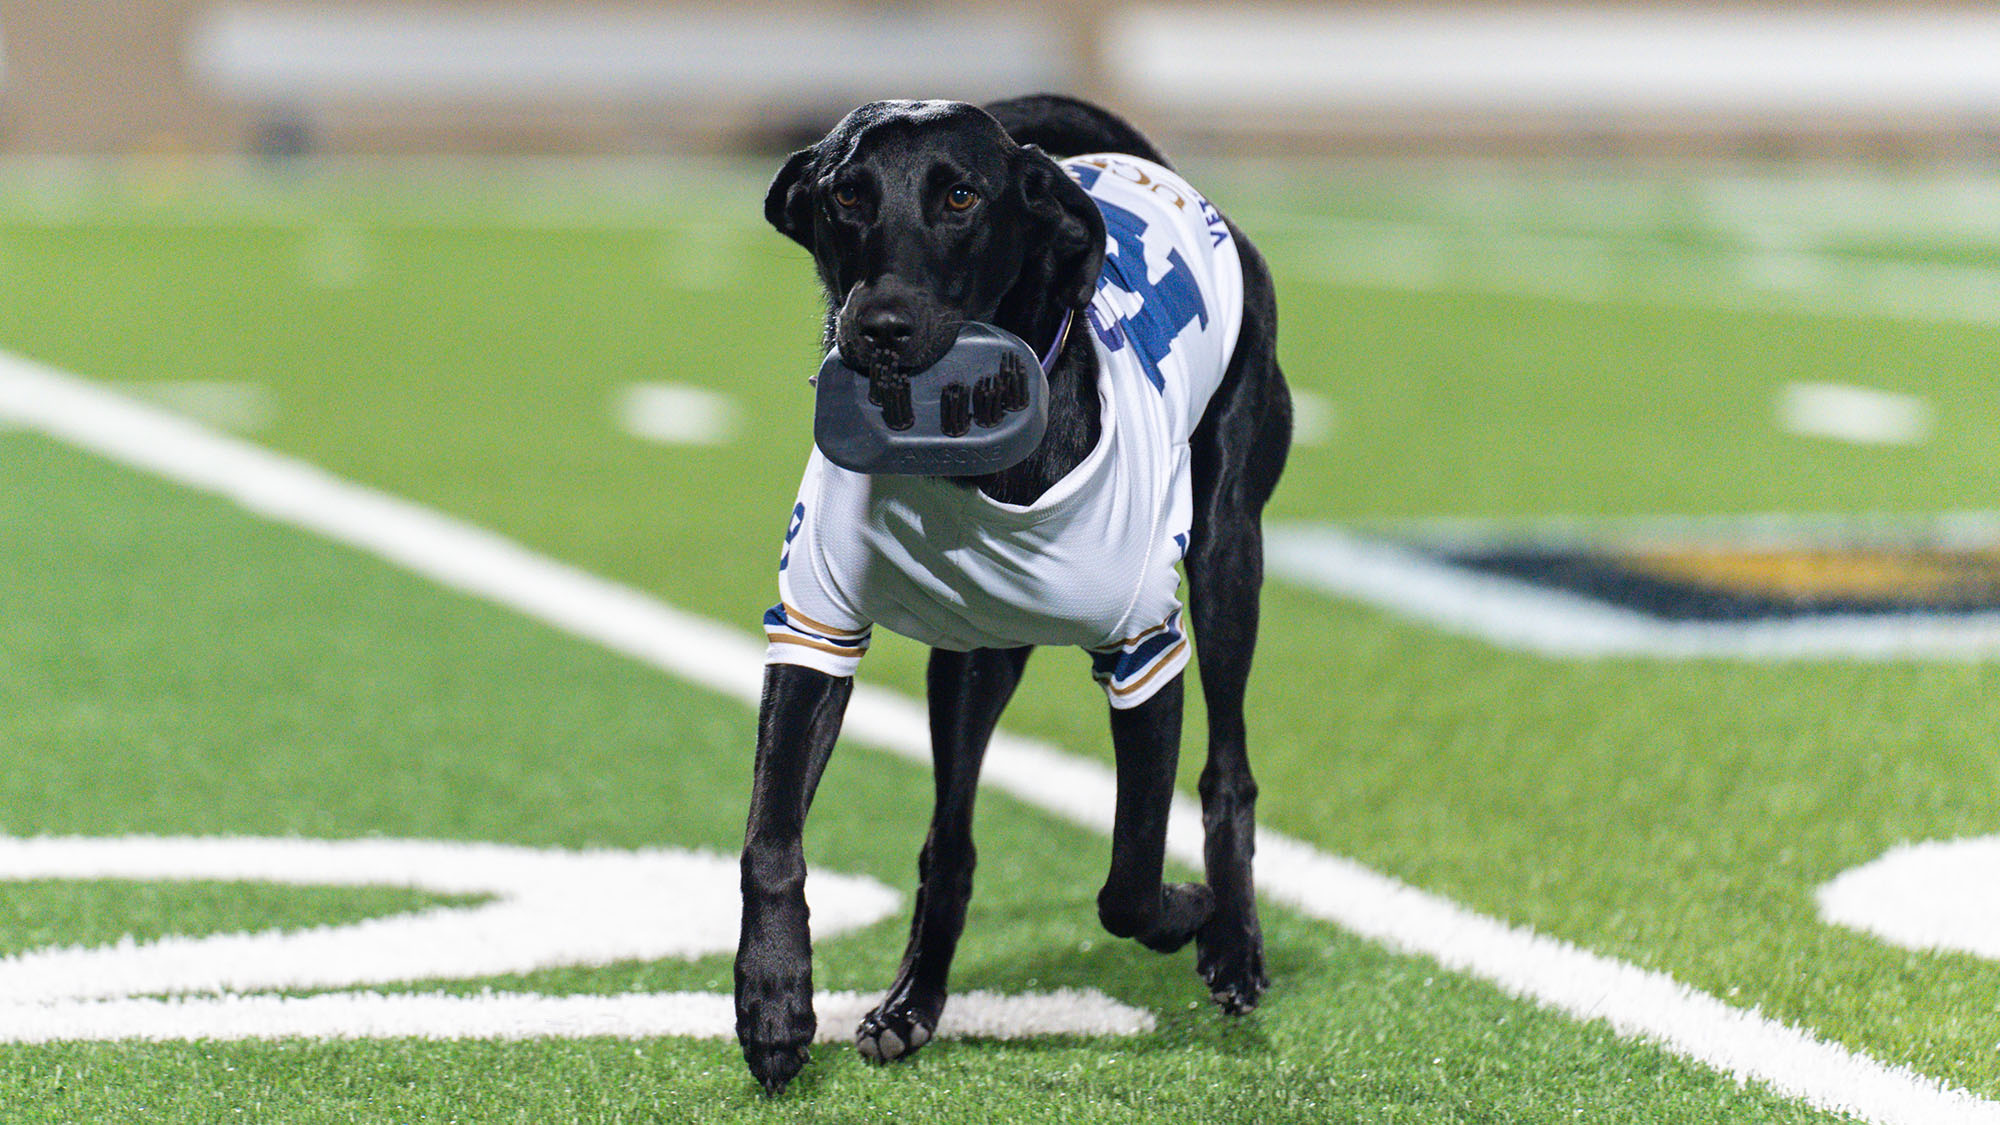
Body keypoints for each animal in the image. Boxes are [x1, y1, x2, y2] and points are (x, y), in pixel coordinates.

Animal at [740, 92, 1296, 1088]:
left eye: (961, 196)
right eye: (845, 194)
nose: (878, 325)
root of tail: (1152, 167)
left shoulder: (1147, 655)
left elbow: (1129, 879)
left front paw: (1189, 910)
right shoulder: (815, 626)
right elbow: (771, 835)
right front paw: (772, 1001)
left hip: (1230, 552)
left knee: (1228, 769)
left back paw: (1234, 944)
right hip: (975, 661)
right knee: (949, 838)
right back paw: (912, 1003)